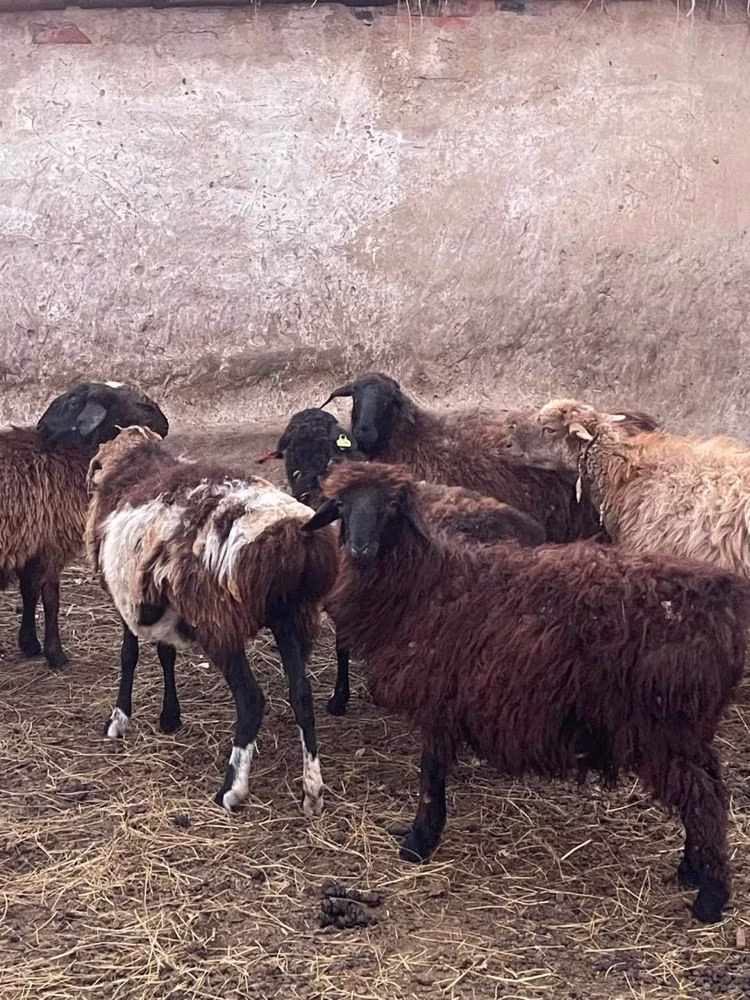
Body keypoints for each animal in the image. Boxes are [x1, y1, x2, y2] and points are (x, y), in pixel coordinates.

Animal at [1, 381, 168, 671]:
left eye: (71, 402)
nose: (165, 423)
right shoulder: (50, 544)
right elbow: (51, 600)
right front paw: (55, 655)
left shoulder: (33, 544)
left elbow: (29, 593)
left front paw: (30, 644)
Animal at [85, 426, 339, 814]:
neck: (133, 465)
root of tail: (299, 532)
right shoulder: (159, 597)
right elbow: (165, 653)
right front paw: (170, 717)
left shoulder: (125, 595)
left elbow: (129, 657)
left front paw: (118, 719)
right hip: (290, 615)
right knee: (302, 695)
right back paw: (312, 790)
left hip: (219, 621)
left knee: (251, 699)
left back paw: (231, 789)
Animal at [303, 460, 750, 924]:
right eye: (341, 505)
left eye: (392, 505)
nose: (360, 550)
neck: (426, 582)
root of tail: (725, 601)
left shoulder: (438, 697)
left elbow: (430, 774)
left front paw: (419, 841)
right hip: (691, 729)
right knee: (709, 789)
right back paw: (691, 870)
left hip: (665, 727)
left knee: (704, 800)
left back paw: (710, 898)